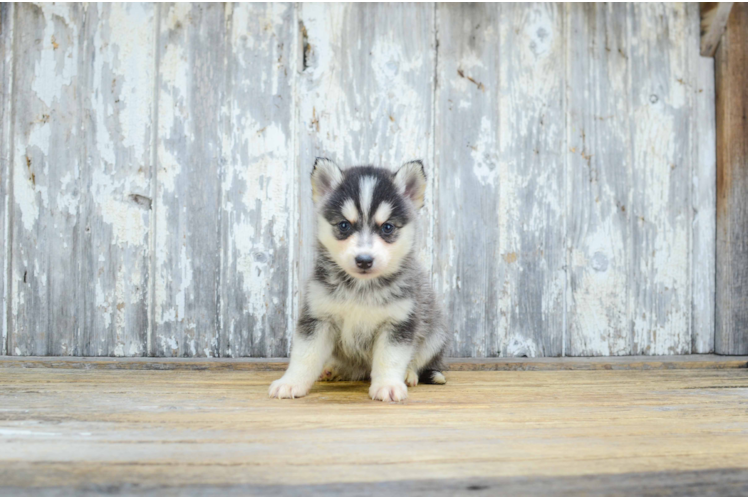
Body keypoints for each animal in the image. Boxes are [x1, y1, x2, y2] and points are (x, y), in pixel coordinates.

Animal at [268, 158, 444, 400]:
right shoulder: (318, 317)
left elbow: (390, 358)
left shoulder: (399, 322)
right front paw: (291, 382)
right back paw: (334, 369)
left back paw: (409, 374)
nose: (364, 260)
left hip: (434, 334)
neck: (361, 287)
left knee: (419, 359)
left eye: (387, 227)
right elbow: (305, 355)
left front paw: (388, 385)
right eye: (344, 225)